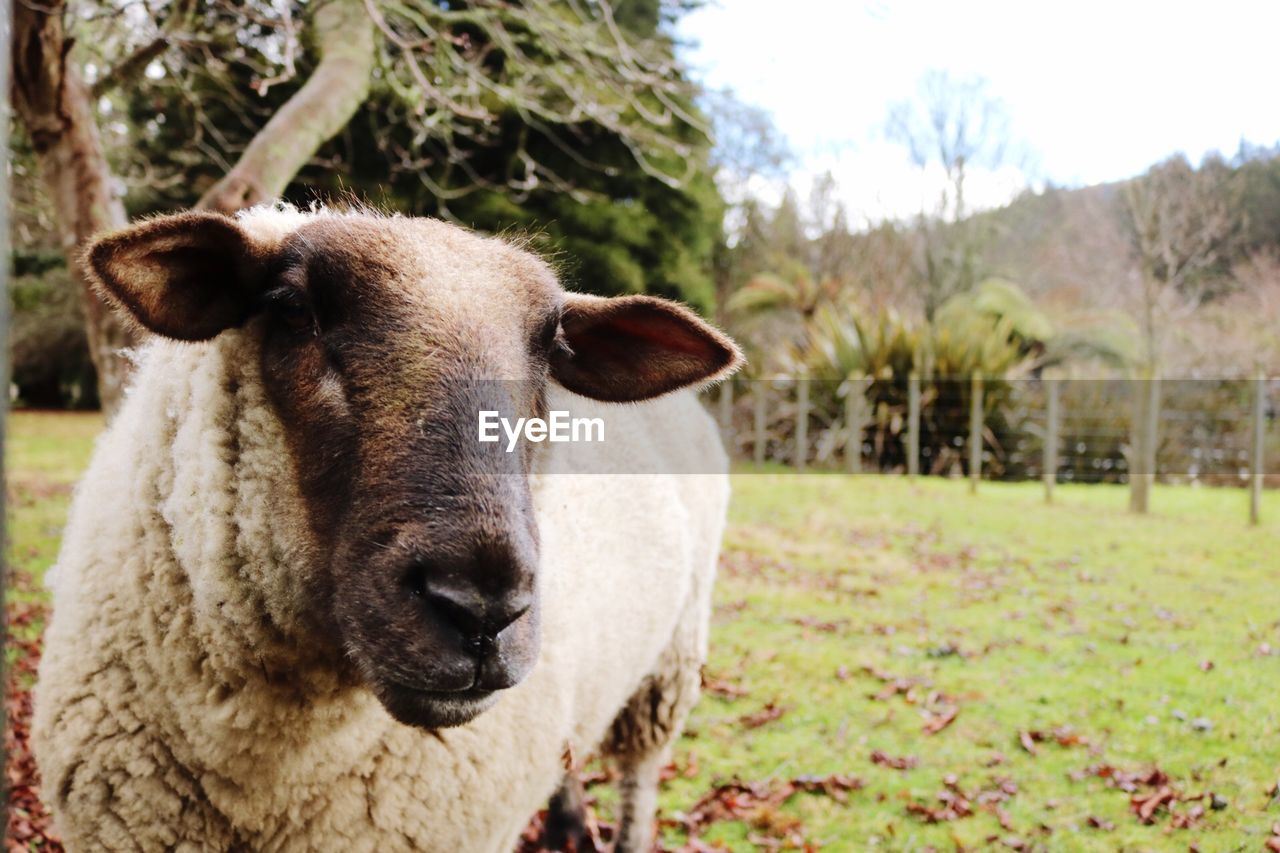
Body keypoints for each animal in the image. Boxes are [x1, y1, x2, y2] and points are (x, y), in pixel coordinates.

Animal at [32, 202, 742, 845]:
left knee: (640, 772)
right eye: (293, 309)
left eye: (553, 350)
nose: (481, 610)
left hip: (671, 656)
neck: (267, 777)